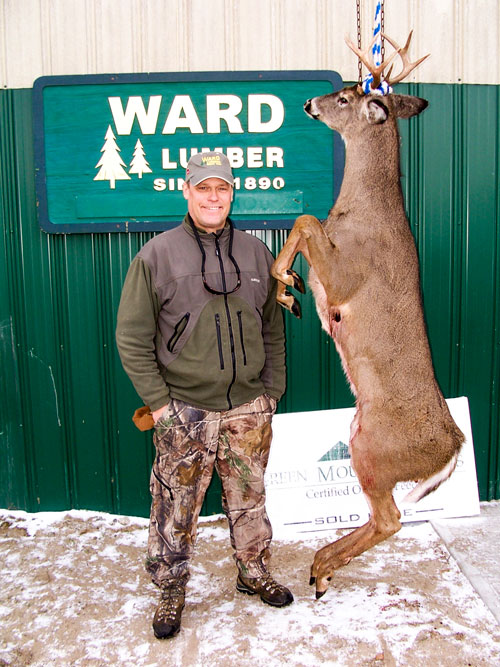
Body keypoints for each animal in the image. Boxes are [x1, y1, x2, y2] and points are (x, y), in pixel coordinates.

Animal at [272, 34, 462, 600]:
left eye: (345, 96)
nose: (307, 103)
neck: (361, 210)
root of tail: (454, 448)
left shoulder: (342, 280)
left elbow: (304, 218)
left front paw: (286, 287)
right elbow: (304, 224)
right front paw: (286, 289)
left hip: (374, 452)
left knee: (390, 518)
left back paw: (320, 568)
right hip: (359, 438)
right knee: (380, 519)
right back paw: (323, 567)